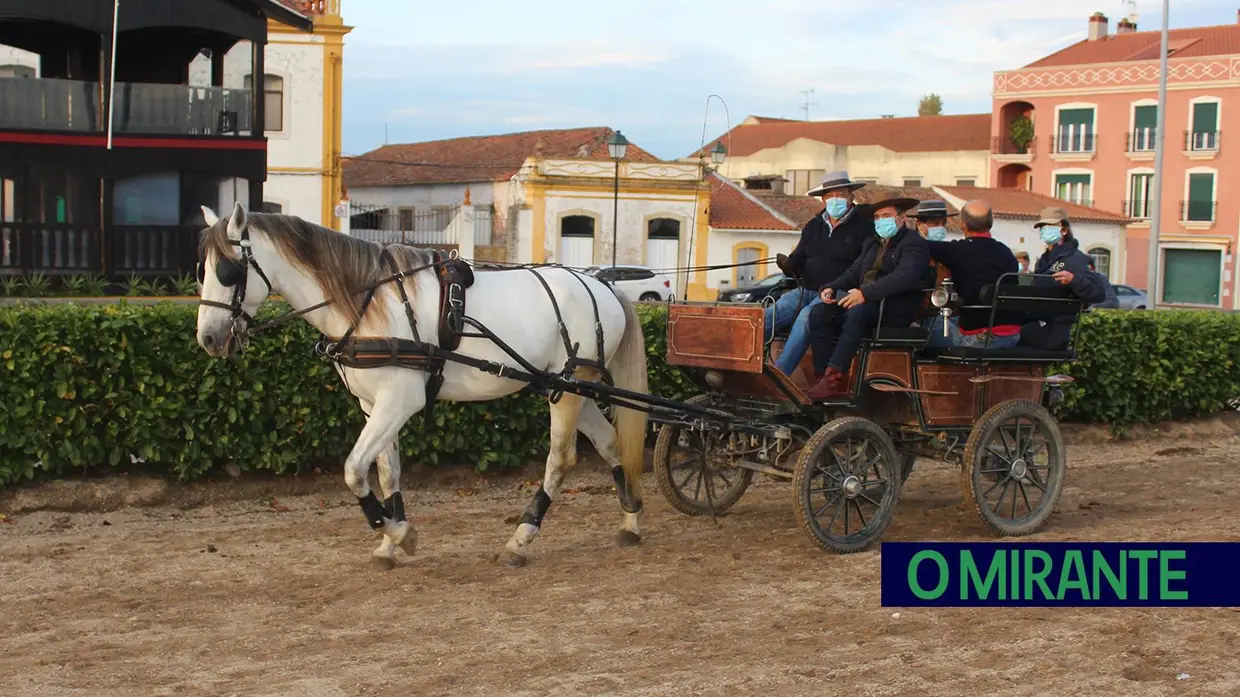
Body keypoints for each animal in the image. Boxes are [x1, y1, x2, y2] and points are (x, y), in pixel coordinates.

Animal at [193, 202, 649, 570]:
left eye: (228, 270)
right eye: (202, 270)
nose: (208, 339)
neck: (366, 303)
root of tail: (602, 285)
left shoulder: (399, 400)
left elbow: (353, 471)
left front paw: (397, 533)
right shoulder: (373, 403)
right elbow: (387, 472)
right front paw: (389, 541)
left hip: (569, 390)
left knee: (561, 459)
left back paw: (521, 539)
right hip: (573, 389)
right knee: (611, 443)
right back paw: (630, 518)